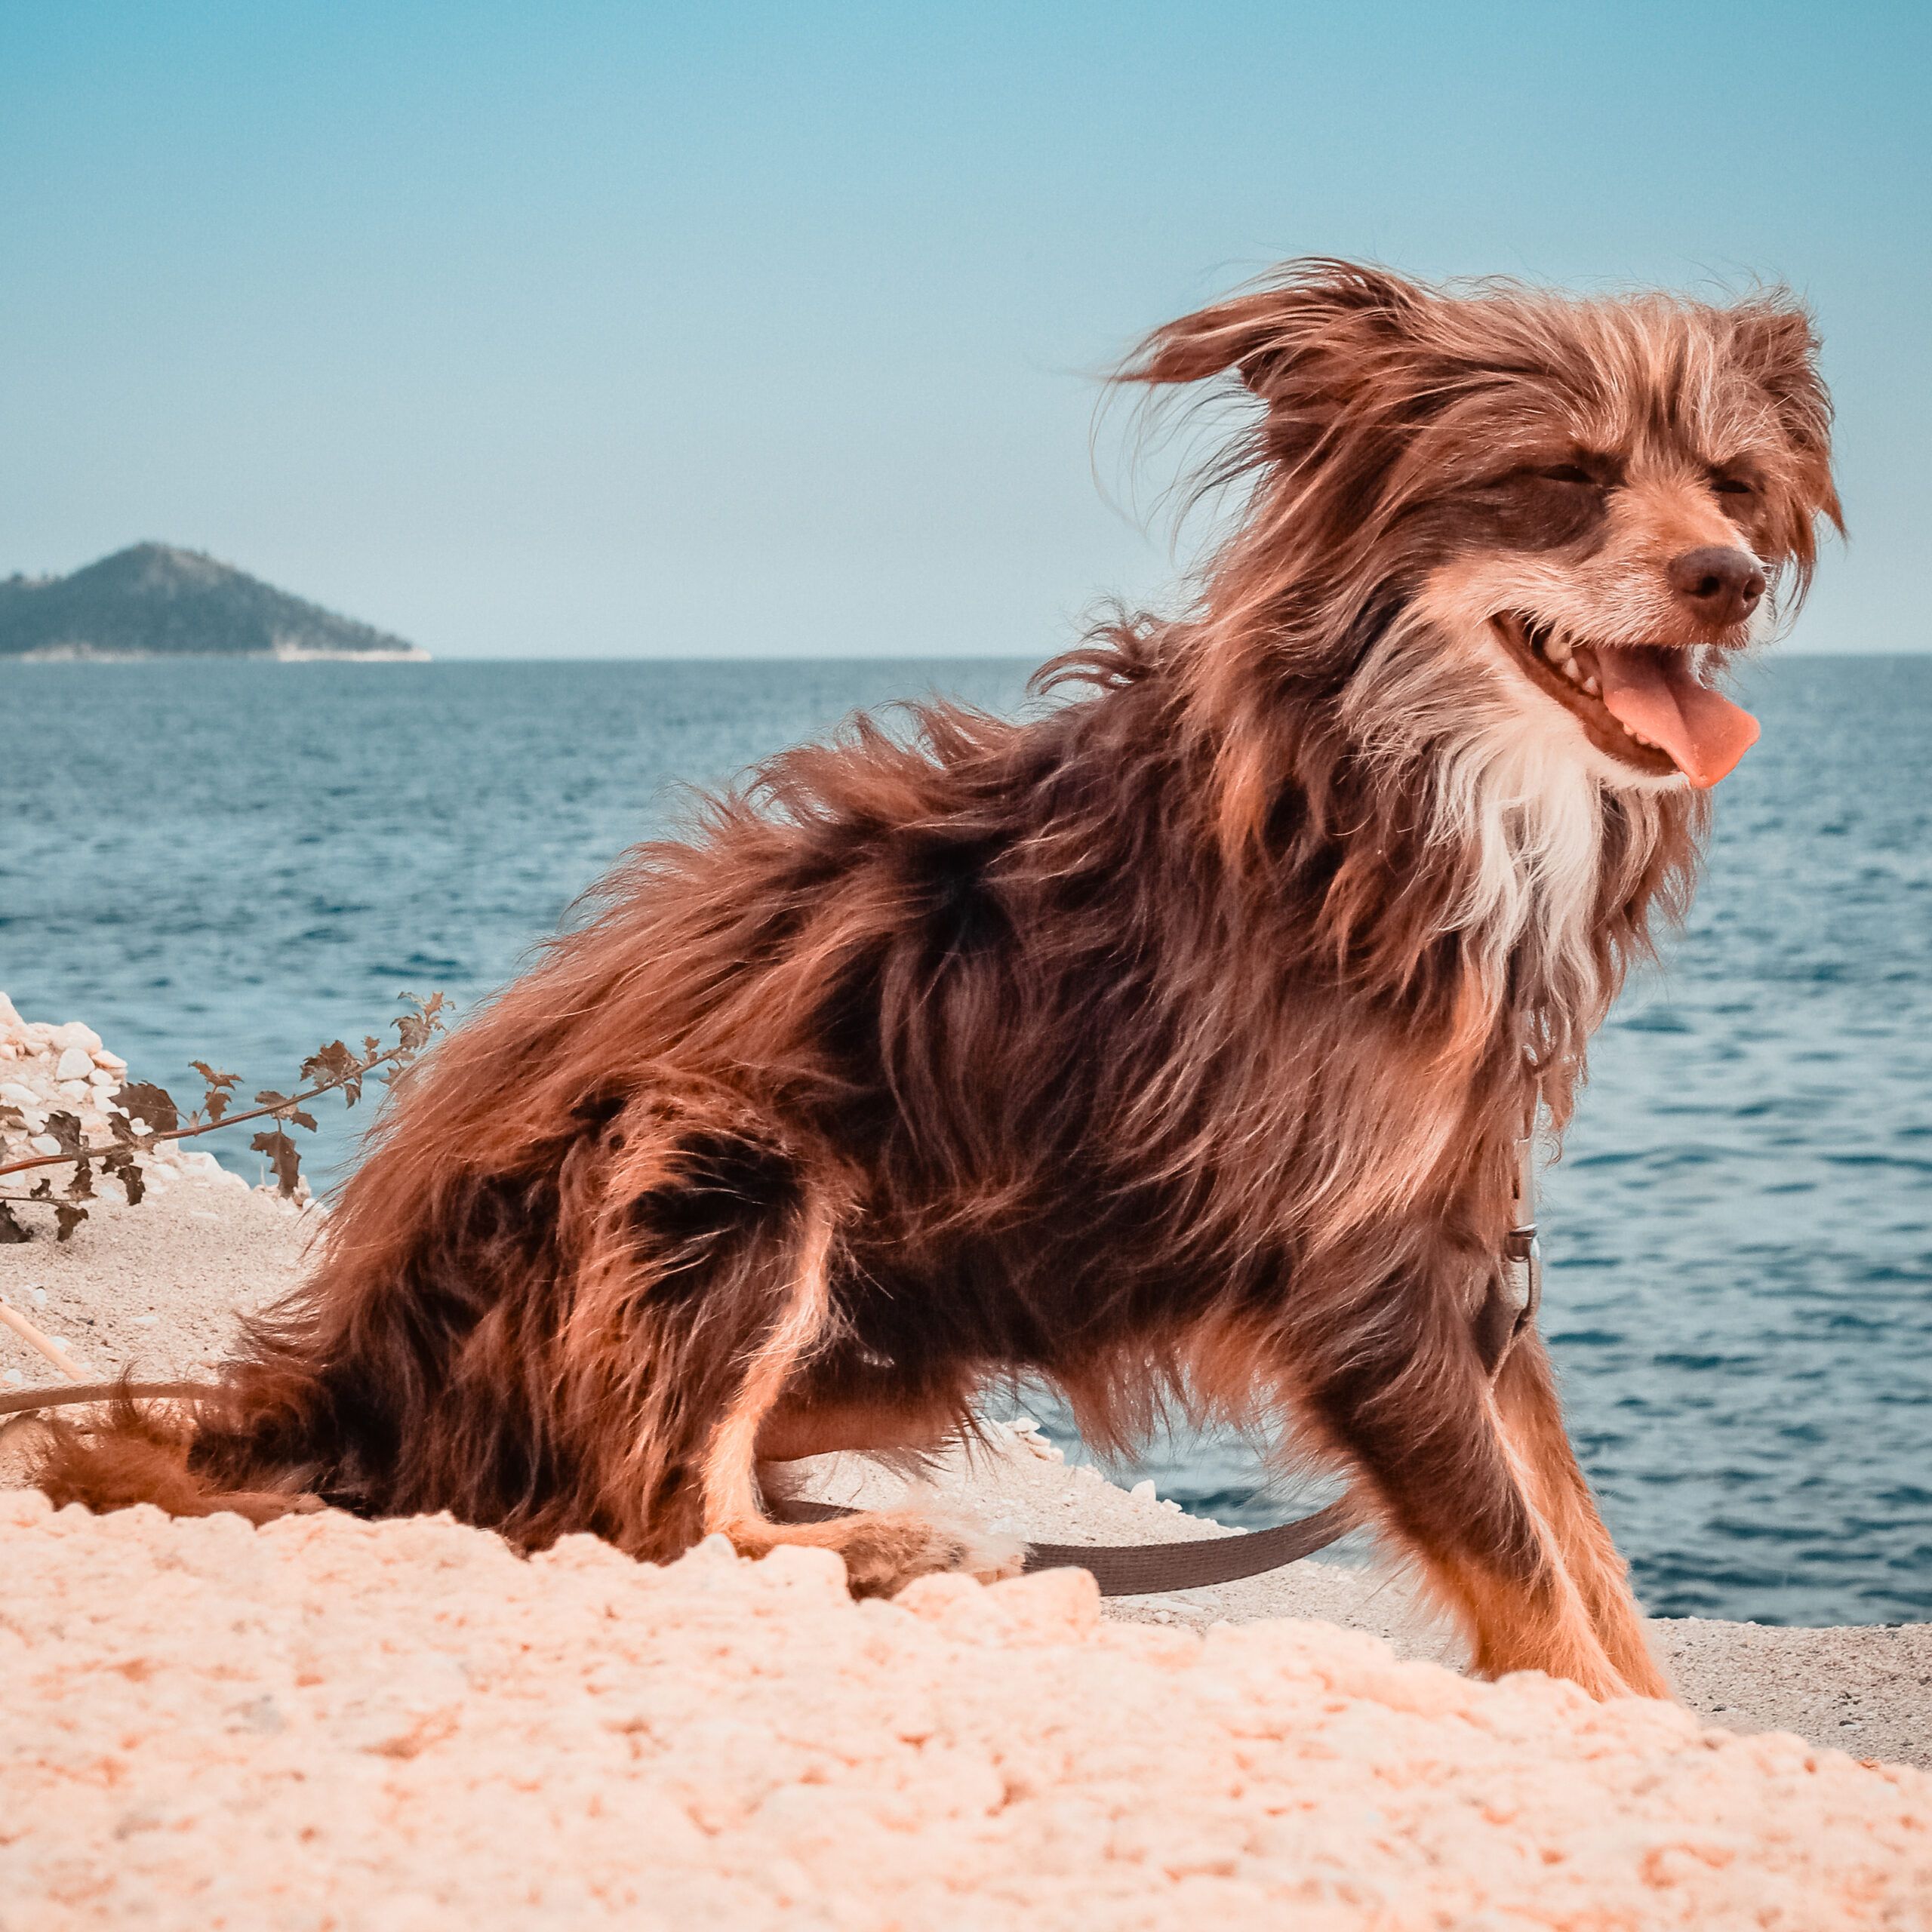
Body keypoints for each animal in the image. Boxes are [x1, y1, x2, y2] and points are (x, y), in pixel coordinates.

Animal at [45, 257, 1839, 1692]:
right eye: (1558, 477)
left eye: (1731, 486)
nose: (1728, 580)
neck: (1417, 782)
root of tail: (349, 1372)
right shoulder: (1365, 1283)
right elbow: (1534, 1585)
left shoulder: (1467, 1248)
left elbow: (1589, 1563)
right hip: (714, 1159)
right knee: (629, 1511)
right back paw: (889, 1555)